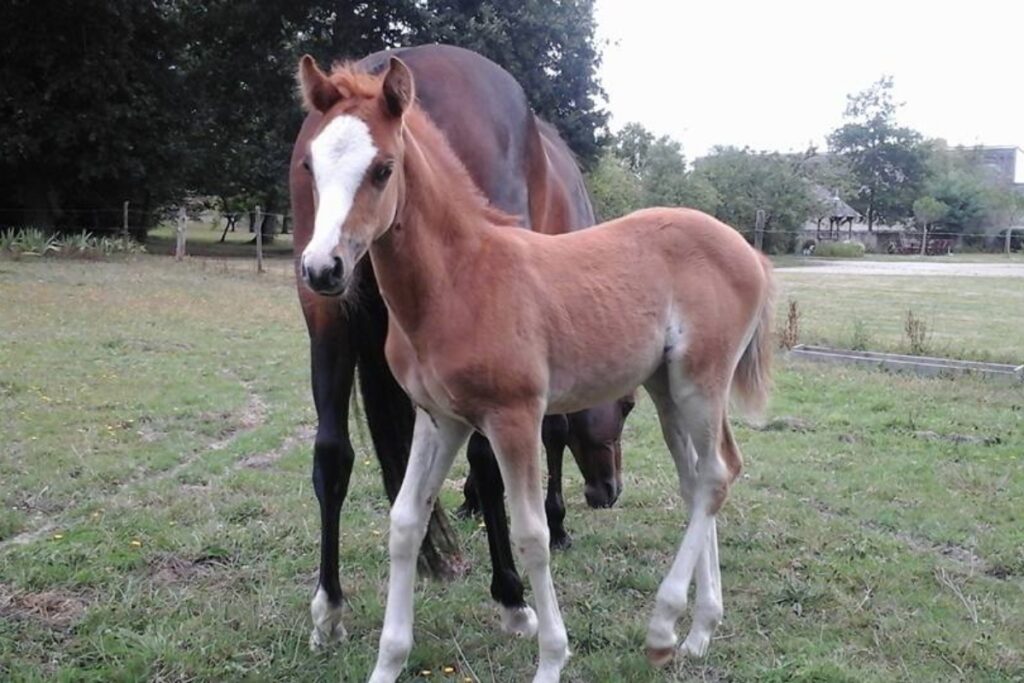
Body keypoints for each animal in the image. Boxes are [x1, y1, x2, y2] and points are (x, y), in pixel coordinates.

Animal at [296, 58, 774, 683]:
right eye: (309, 164)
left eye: (383, 169)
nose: (321, 269)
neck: (459, 278)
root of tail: (747, 249)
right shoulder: (440, 418)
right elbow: (405, 523)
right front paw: (386, 662)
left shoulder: (514, 417)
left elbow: (531, 534)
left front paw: (549, 654)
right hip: (667, 387)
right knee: (698, 480)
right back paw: (696, 633)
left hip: (701, 381)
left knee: (718, 473)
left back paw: (664, 625)